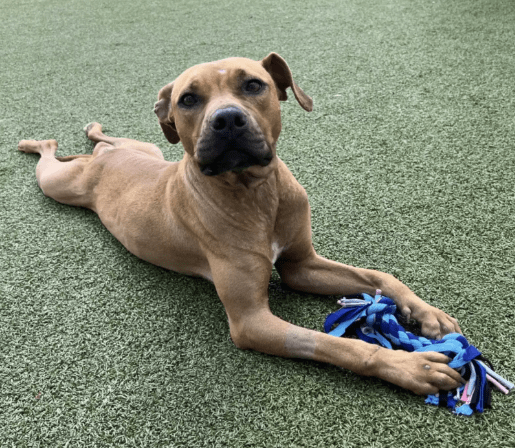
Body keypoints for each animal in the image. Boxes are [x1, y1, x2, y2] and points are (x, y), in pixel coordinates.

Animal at [18, 52, 463, 395]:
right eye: (188, 99)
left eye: (253, 85)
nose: (227, 119)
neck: (255, 195)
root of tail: (100, 161)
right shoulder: (251, 321)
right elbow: (335, 345)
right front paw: (412, 367)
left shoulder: (301, 265)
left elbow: (378, 275)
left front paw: (427, 313)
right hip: (58, 184)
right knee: (49, 154)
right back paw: (35, 142)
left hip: (141, 149)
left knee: (104, 140)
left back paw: (94, 130)